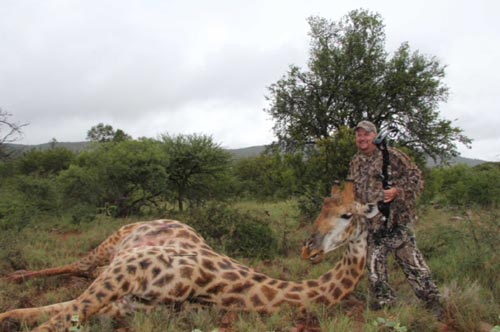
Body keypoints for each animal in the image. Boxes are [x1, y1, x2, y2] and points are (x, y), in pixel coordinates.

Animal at [0, 182, 376, 332]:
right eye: (322, 210)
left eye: (346, 215)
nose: (308, 248)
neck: (220, 289)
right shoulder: (124, 271)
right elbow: (52, 320)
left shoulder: (124, 307)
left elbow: (44, 315)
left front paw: (10, 316)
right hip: (112, 244)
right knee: (77, 265)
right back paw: (15, 275)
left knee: (77, 280)